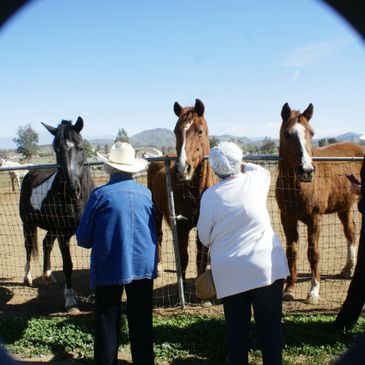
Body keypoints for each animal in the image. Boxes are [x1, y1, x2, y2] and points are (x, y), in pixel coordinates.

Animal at [19, 116, 94, 310]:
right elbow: (68, 265)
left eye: (80, 147)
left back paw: (48, 275)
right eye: (57, 150)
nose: (73, 189)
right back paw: (28, 277)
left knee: (46, 243)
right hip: (28, 224)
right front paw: (70, 300)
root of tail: (30, 172)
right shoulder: (63, 235)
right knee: (28, 247)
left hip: (51, 228)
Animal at [147, 98, 215, 278]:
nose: (183, 169)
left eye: (199, 131)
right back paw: (159, 266)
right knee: (158, 236)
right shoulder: (181, 227)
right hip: (156, 212)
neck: (195, 194)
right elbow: (184, 258)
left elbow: (200, 258)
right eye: (175, 131)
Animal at [276, 101, 364, 302]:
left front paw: (314, 291)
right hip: (344, 207)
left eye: (312, 133)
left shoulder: (315, 219)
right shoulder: (287, 218)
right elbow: (291, 252)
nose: (307, 171)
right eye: (287, 134)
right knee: (350, 232)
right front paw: (289, 289)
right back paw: (347, 269)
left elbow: (313, 253)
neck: (297, 187)